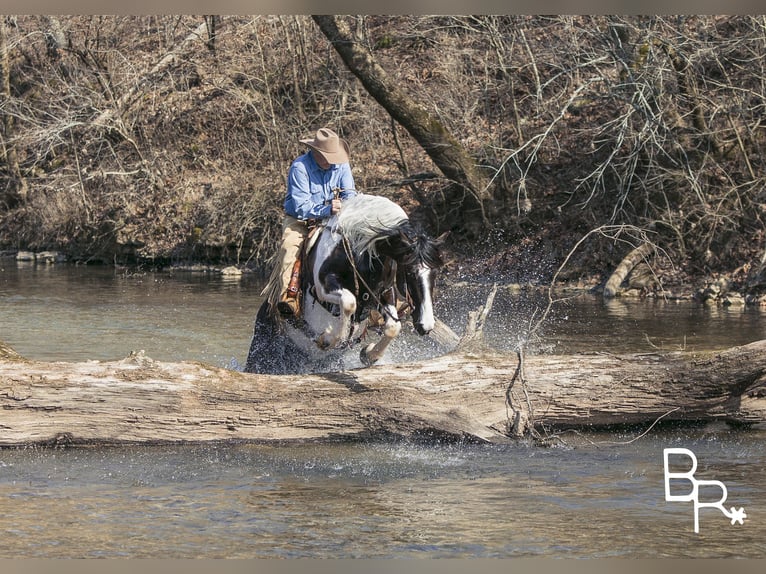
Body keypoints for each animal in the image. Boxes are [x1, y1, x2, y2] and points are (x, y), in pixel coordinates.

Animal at [246, 196, 448, 376]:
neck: (357, 247)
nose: (426, 326)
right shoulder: (324, 286)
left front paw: (369, 354)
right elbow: (349, 303)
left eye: (435, 273)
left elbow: (393, 327)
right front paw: (328, 339)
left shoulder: (383, 293)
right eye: (410, 272)